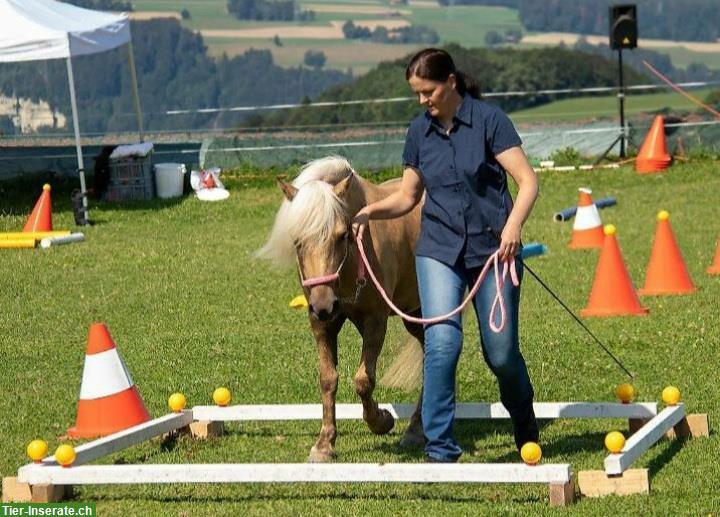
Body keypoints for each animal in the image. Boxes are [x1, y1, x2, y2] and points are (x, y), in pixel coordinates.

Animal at [258, 156, 424, 460]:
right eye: (297, 241)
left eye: (342, 235)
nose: (324, 304)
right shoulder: (322, 325)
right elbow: (328, 379)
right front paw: (324, 443)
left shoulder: (375, 321)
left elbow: (363, 380)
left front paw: (381, 420)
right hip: (413, 314)